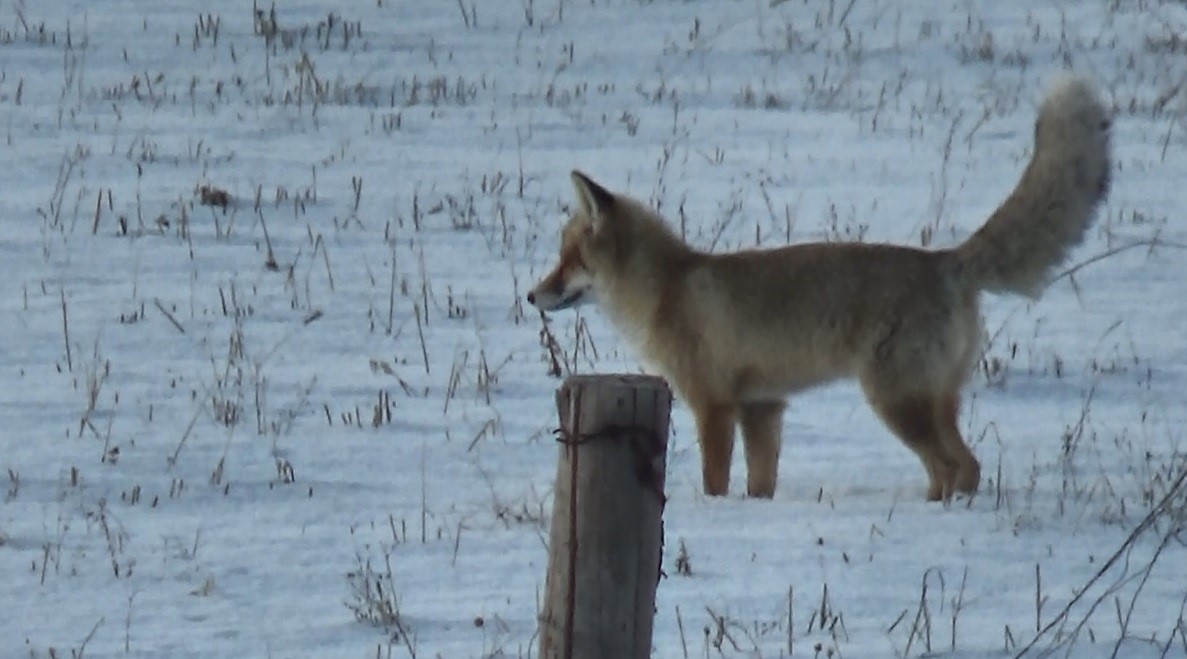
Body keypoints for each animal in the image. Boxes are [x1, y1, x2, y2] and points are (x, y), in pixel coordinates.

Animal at [529, 75, 1111, 501]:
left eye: (569, 260)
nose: (532, 296)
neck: (666, 289)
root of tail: (944, 260)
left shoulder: (713, 405)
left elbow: (715, 482)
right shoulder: (764, 408)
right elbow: (760, 484)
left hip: (894, 400)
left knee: (954, 468)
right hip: (933, 400)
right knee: (964, 467)